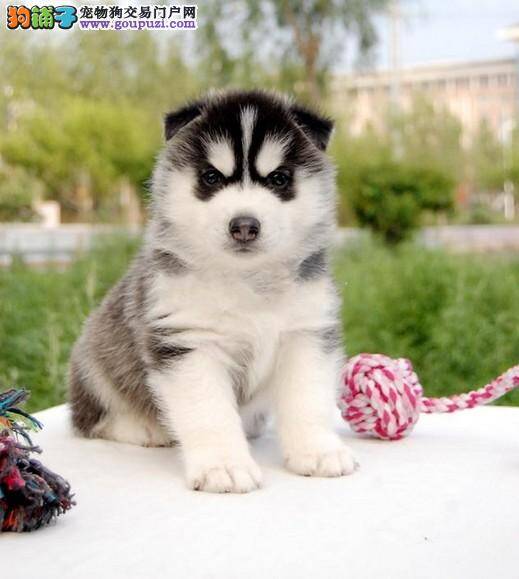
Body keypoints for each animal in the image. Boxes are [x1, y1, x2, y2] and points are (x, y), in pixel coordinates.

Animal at [68, 90, 356, 493]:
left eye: (280, 178)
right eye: (211, 177)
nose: (245, 225)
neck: (248, 282)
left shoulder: (307, 331)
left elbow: (307, 397)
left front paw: (317, 450)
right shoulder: (187, 341)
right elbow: (209, 412)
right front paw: (224, 465)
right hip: (95, 359)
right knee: (89, 418)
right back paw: (143, 427)